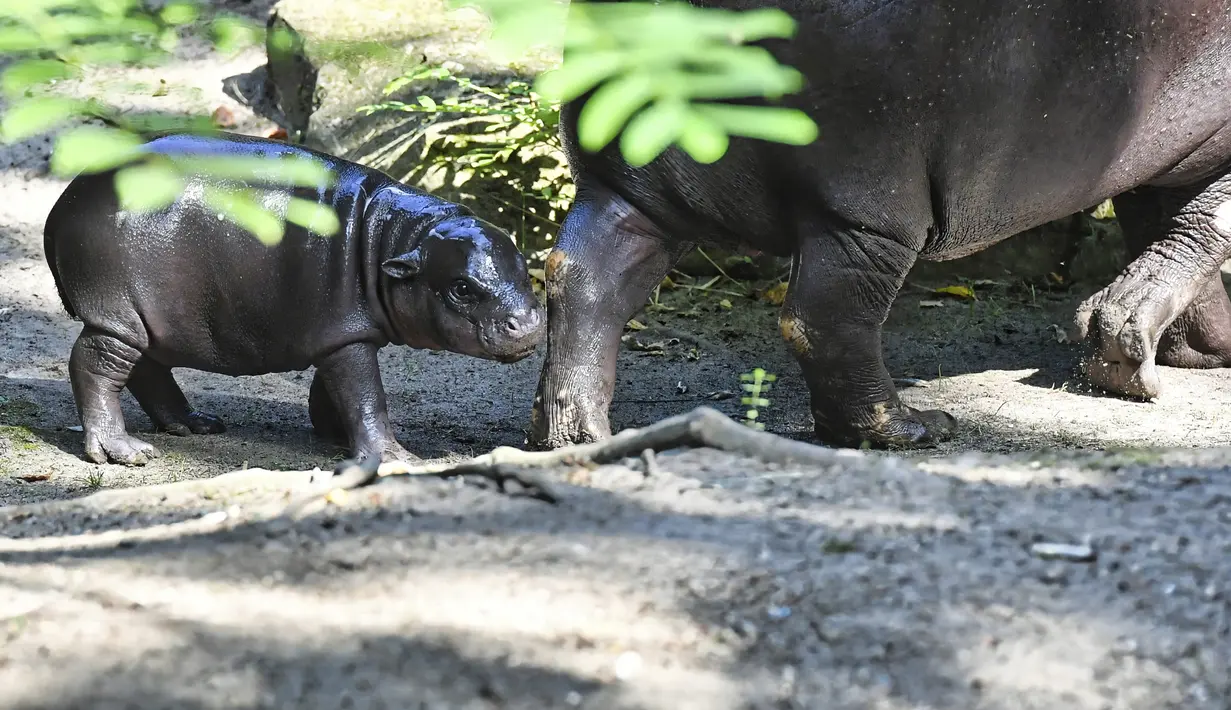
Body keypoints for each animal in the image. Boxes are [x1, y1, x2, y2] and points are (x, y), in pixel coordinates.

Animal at [44, 131, 544, 465]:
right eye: (462, 288)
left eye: (526, 268)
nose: (528, 322)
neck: (397, 237)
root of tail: (63, 203)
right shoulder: (347, 337)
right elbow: (367, 396)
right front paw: (396, 457)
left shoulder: (342, 333)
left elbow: (338, 390)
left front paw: (335, 435)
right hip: (118, 314)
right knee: (96, 364)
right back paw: (123, 452)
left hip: (150, 318)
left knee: (147, 368)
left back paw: (195, 424)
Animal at [534, 0, 1231, 447]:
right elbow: (1203, 224)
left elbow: (1168, 227)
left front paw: (1188, 347)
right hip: (869, 213)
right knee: (822, 318)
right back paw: (913, 428)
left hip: (627, 186)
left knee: (584, 278)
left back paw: (571, 435)